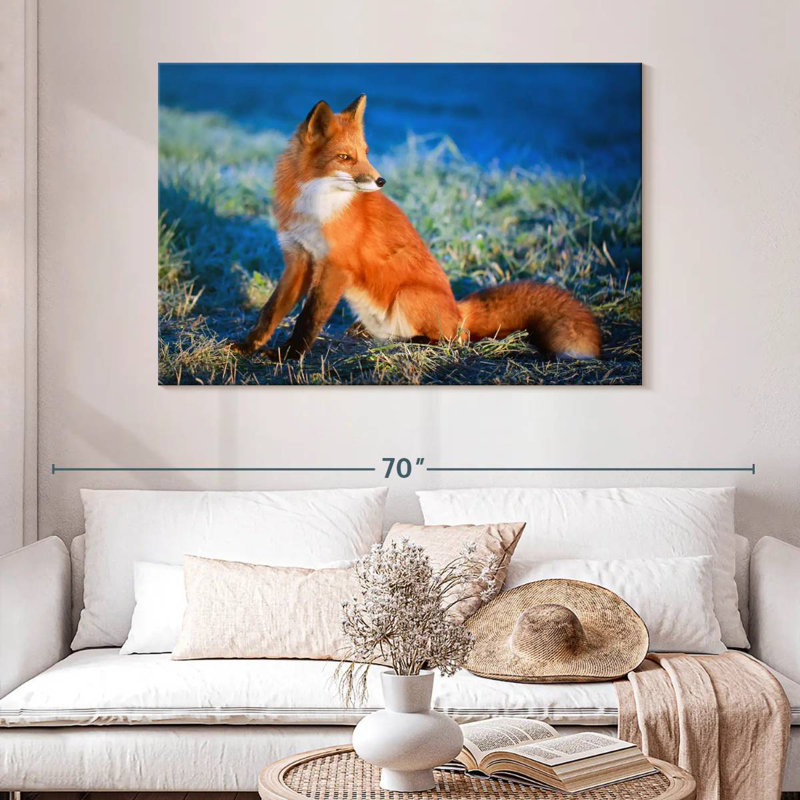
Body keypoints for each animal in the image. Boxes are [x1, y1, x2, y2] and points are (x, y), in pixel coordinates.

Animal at [234, 94, 601, 361]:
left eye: (365, 153)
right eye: (345, 158)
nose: (381, 180)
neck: (315, 207)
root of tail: (458, 309)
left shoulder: (336, 266)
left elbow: (308, 319)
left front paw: (288, 357)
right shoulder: (298, 260)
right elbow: (270, 312)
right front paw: (248, 346)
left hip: (408, 295)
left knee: (456, 339)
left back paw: (417, 342)